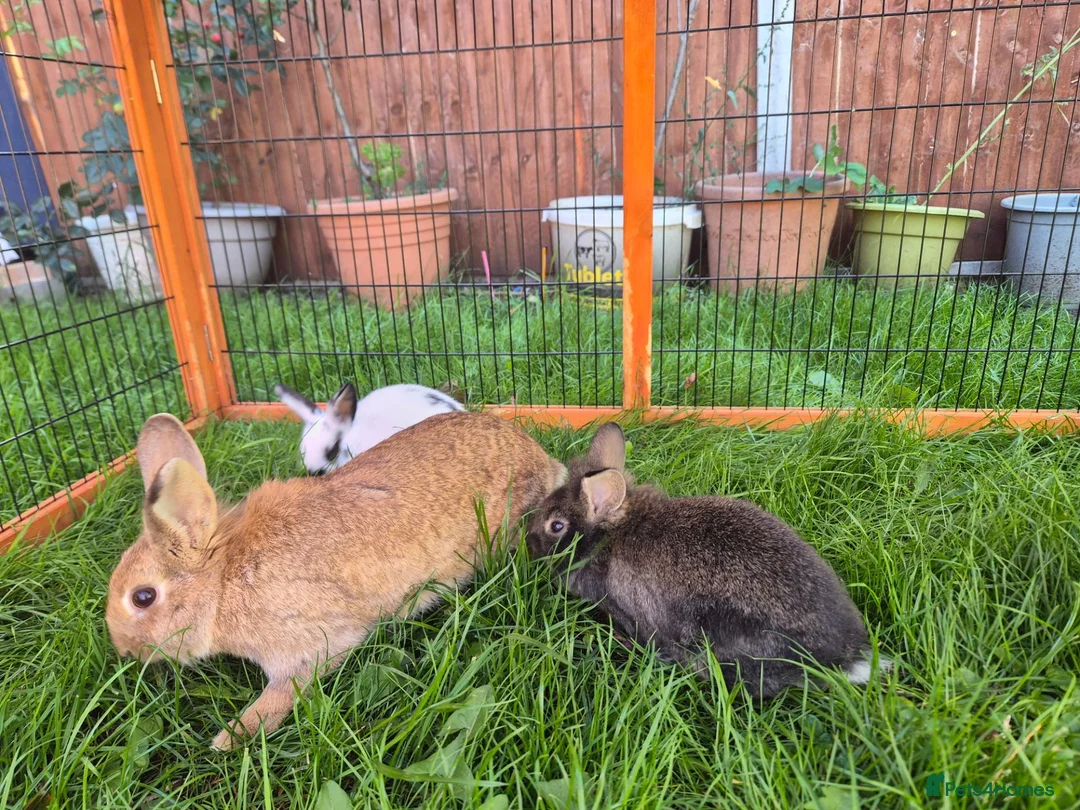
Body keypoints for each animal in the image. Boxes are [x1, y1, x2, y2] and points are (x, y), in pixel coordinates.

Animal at [106, 410, 566, 750]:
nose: (123, 650)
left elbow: (283, 693)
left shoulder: (308, 647)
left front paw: (231, 737)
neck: (222, 583)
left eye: (143, 597)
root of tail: (544, 460)